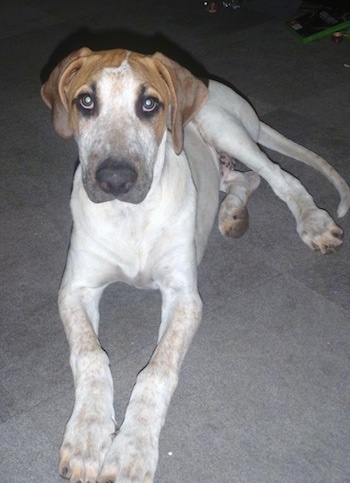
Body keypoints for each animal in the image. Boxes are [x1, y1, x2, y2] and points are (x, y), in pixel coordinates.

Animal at [41, 46, 350, 483]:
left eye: (149, 104)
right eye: (86, 101)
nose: (115, 179)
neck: (129, 217)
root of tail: (211, 84)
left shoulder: (184, 297)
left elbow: (156, 371)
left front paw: (131, 451)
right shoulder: (75, 289)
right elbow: (90, 356)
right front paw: (87, 436)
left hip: (224, 128)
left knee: (277, 176)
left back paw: (313, 222)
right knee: (245, 179)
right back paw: (232, 213)